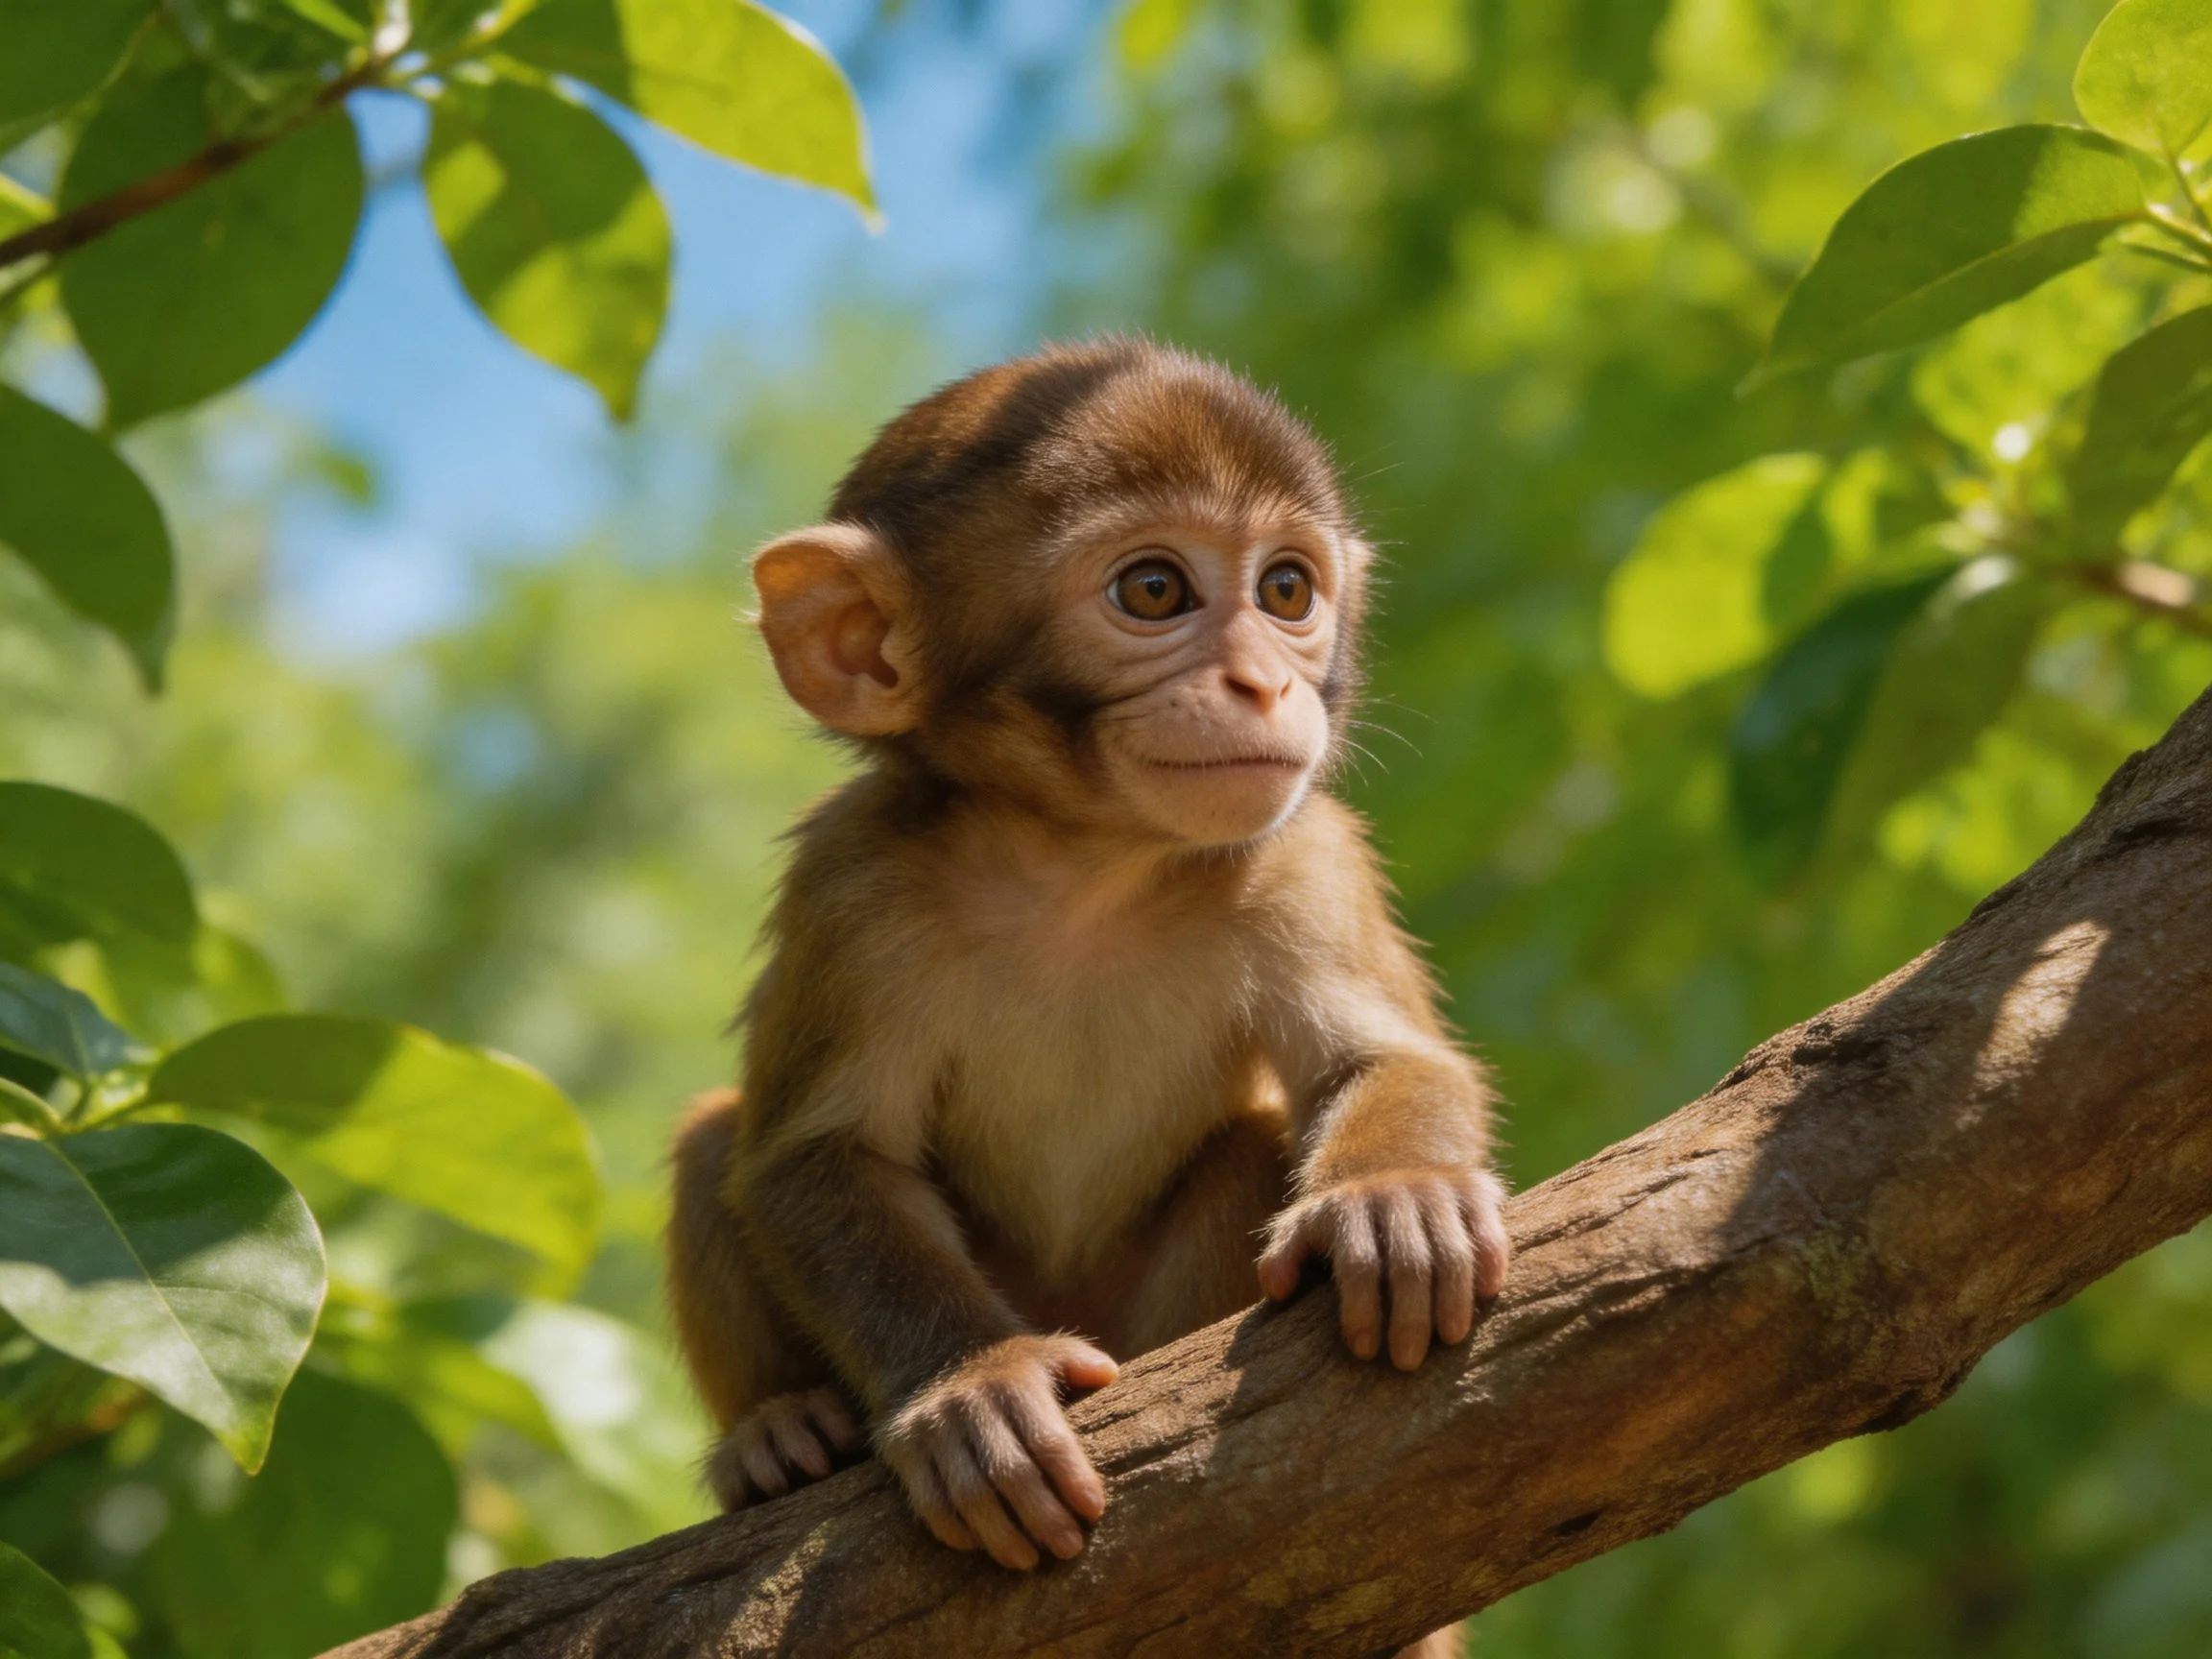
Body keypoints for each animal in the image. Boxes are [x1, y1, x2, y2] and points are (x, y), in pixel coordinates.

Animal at [666, 340, 1508, 1651]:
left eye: (1287, 589)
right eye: (1154, 591)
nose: (1266, 685)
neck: (1084, 868)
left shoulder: (1301, 850)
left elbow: (1386, 1063)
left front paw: (1397, 1198)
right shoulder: (852, 887)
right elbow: (817, 1161)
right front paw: (972, 1387)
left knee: (1251, 1138)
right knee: (717, 1140)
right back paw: (778, 1433)